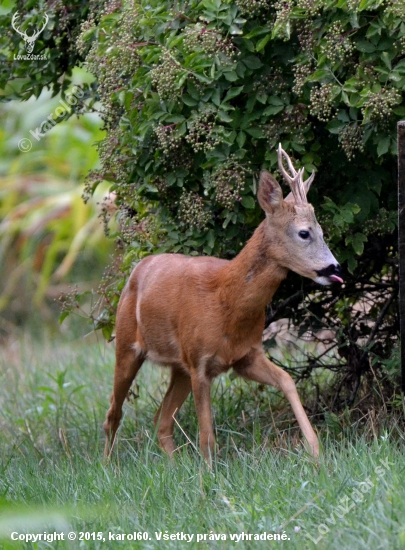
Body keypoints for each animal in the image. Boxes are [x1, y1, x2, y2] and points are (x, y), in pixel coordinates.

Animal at [104, 146, 340, 462]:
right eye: (304, 232)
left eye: (323, 231)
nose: (334, 268)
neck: (226, 303)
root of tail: (137, 268)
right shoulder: (200, 362)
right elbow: (207, 435)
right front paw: (208, 472)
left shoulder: (245, 355)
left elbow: (287, 380)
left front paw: (315, 451)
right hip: (127, 344)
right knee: (113, 413)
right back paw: (108, 465)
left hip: (179, 366)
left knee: (161, 419)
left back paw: (173, 464)